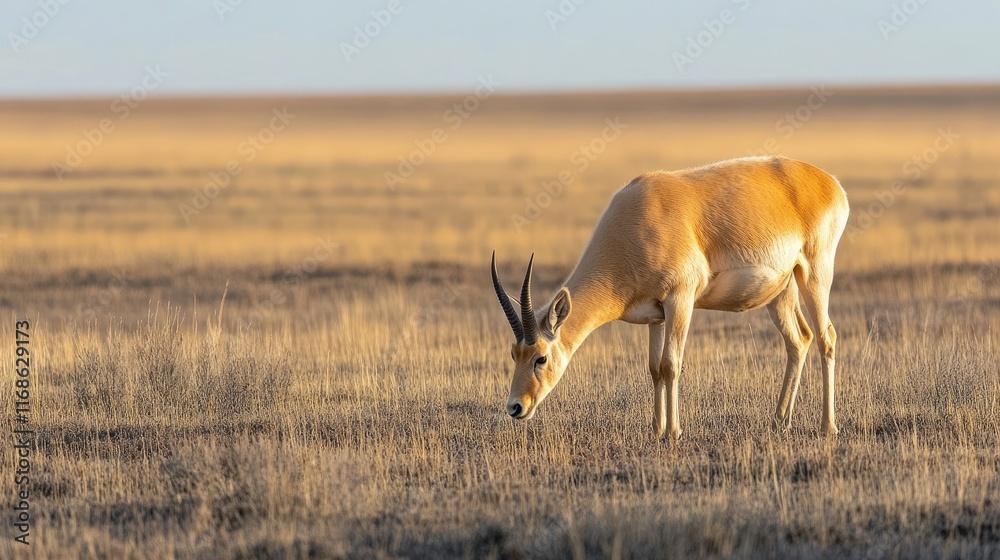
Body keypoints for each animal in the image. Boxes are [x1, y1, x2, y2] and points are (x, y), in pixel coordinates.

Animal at [491, 156, 849, 438]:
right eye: (514, 353)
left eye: (541, 357)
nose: (515, 407)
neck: (635, 218)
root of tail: (830, 182)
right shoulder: (655, 314)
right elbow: (654, 368)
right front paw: (656, 429)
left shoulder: (681, 300)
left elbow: (672, 364)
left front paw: (673, 432)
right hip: (781, 293)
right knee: (799, 340)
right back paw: (779, 422)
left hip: (814, 275)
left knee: (826, 337)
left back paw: (827, 427)